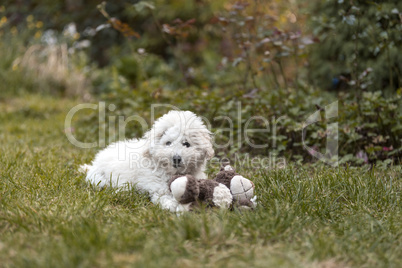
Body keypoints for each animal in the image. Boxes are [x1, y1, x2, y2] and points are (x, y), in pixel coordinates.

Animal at [80, 110, 215, 211]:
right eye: (168, 143)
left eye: (186, 144)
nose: (176, 158)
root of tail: (94, 163)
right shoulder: (158, 189)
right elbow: (167, 199)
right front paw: (180, 208)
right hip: (99, 179)